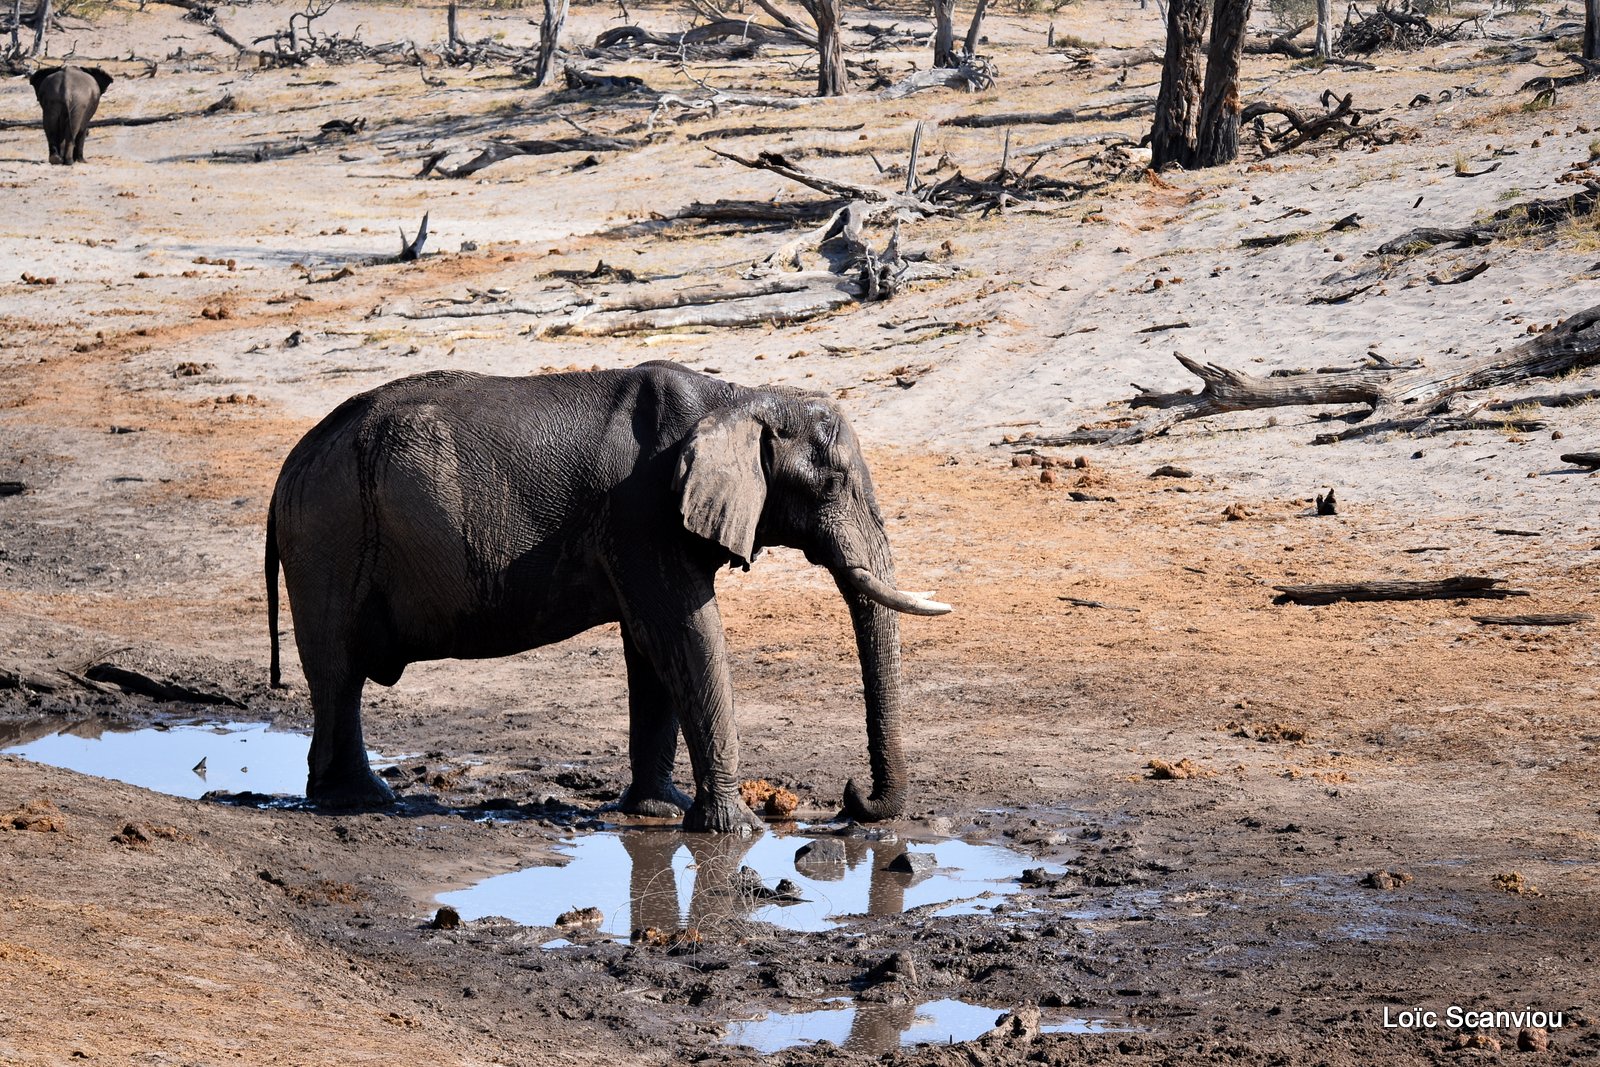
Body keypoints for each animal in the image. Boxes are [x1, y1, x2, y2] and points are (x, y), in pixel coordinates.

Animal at [265, 363, 947, 831]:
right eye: (833, 482)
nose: (852, 798)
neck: (737, 400)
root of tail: (290, 466)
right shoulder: (642, 514)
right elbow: (687, 635)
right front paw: (736, 830)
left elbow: (652, 651)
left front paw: (659, 811)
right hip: (330, 535)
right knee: (338, 672)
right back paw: (358, 801)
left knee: (337, 675)